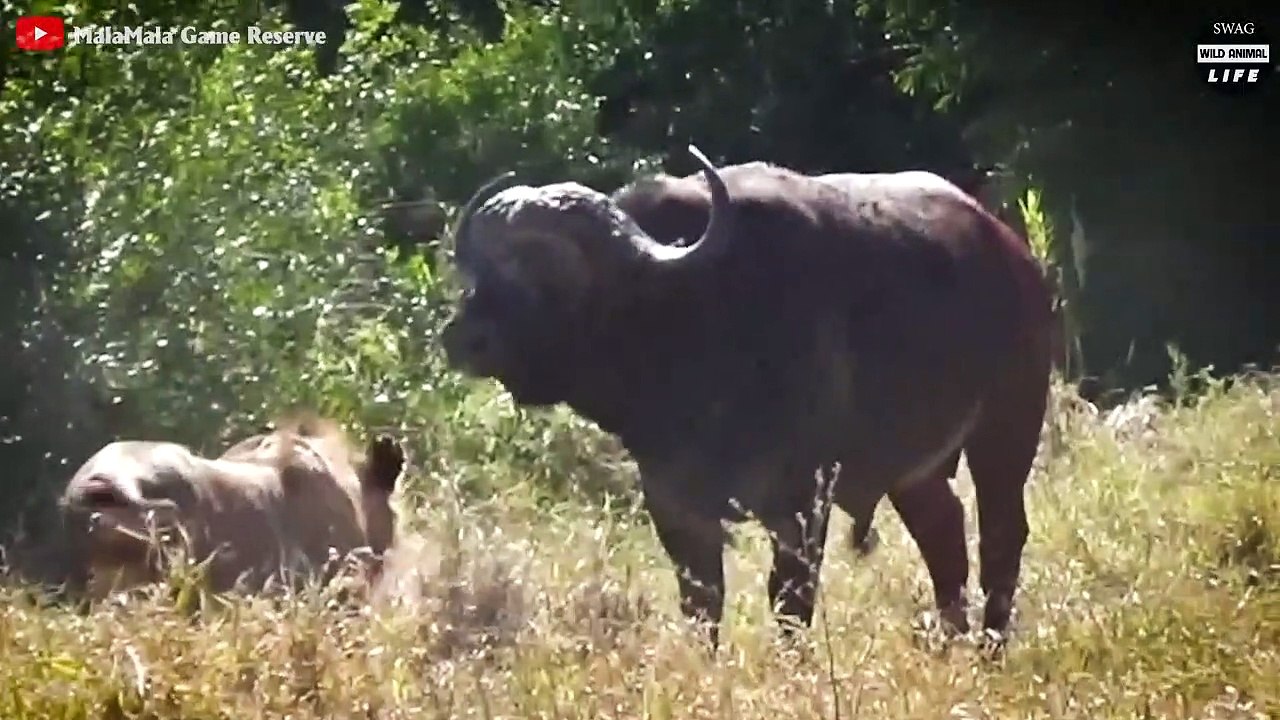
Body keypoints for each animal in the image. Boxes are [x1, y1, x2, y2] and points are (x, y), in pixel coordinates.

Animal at [441, 146, 1054, 647]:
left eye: (547, 271)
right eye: (482, 271)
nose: (464, 339)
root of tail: (1016, 258)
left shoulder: (801, 501)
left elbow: (789, 600)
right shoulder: (674, 504)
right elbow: (701, 603)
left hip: (1008, 428)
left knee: (1001, 538)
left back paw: (991, 644)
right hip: (915, 472)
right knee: (944, 534)